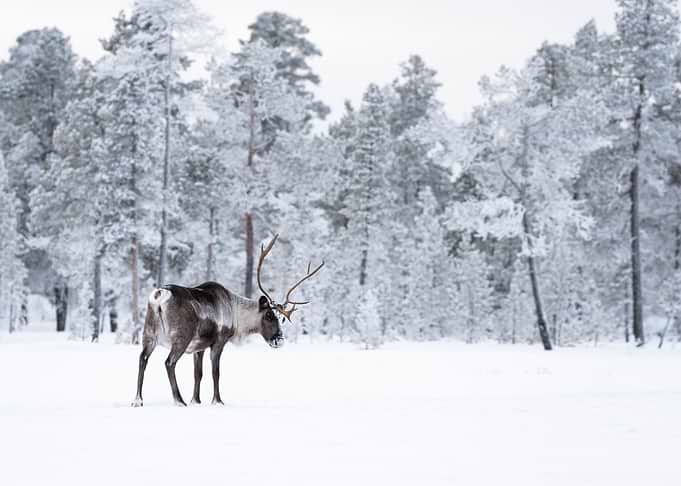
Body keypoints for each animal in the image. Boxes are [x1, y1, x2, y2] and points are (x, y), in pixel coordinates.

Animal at [131, 234, 323, 407]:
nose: (279, 340)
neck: (236, 314)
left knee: (142, 359)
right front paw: (217, 401)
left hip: (148, 334)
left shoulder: (198, 347)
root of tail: (159, 296)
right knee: (169, 362)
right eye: (269, 315)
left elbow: (198, 373)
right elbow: (215, 372)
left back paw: (138, 400)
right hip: (181, 337)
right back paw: (179, 400)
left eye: (282, 319)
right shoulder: (219, 341)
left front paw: (196, 401)